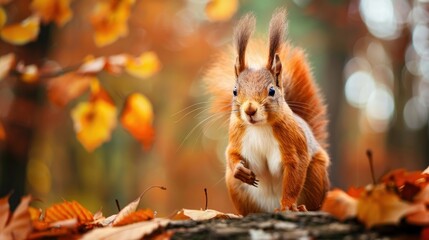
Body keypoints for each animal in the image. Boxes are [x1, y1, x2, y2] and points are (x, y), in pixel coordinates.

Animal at [204, 7, 332, 216]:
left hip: (316, 174)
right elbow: (231, 154)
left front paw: (288, 206)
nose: (250, 109)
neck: (260, 126)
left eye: (271, 91)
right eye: (234, 91)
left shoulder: (293, 143)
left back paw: (302, 208)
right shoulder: (236, 135)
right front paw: (240, 170)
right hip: (236, 187)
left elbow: (295, 171)